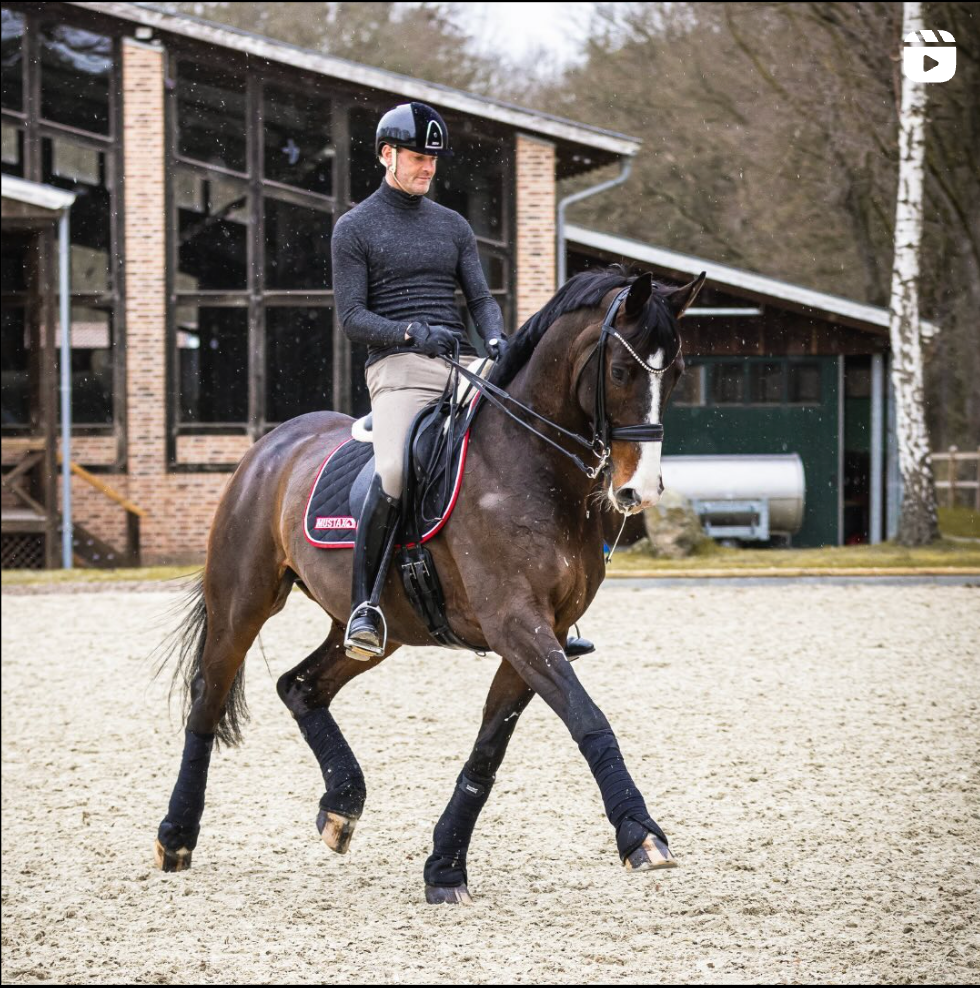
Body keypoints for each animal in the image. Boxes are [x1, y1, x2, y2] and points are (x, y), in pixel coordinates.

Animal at [155, 262, 704, 904]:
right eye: (619, 371)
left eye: (679, 373)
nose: (638, 491)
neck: (529, 465)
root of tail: (270, 446)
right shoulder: (516, 623)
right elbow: (588, 718)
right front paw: (639, 832)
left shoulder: (541, 631)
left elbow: (490, 749)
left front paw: (444, 866)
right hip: (243, 601)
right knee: (208, 698)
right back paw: (177, 836)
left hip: (376, 627)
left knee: (300, 686)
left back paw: (342, 804)